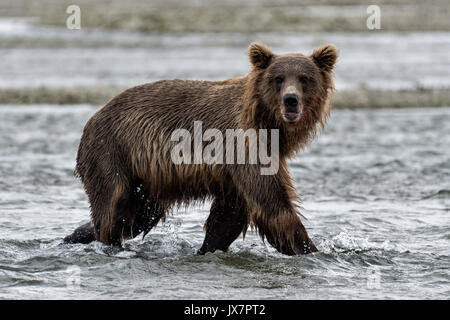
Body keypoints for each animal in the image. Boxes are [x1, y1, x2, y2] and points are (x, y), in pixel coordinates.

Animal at [64, 42, 338, 255]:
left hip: (145, 179)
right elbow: (272, 204)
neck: (268, 125)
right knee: (115, 209)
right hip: (112, 152)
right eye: (278, 78)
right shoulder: (243, 144)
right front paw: (312, 249)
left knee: (138, 216)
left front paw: (208, 247)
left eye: (305, 78)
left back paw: (75, 235)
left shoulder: (235, 172)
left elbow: (229, 216)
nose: (291, 100)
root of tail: (92, 119)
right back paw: (107, 243)